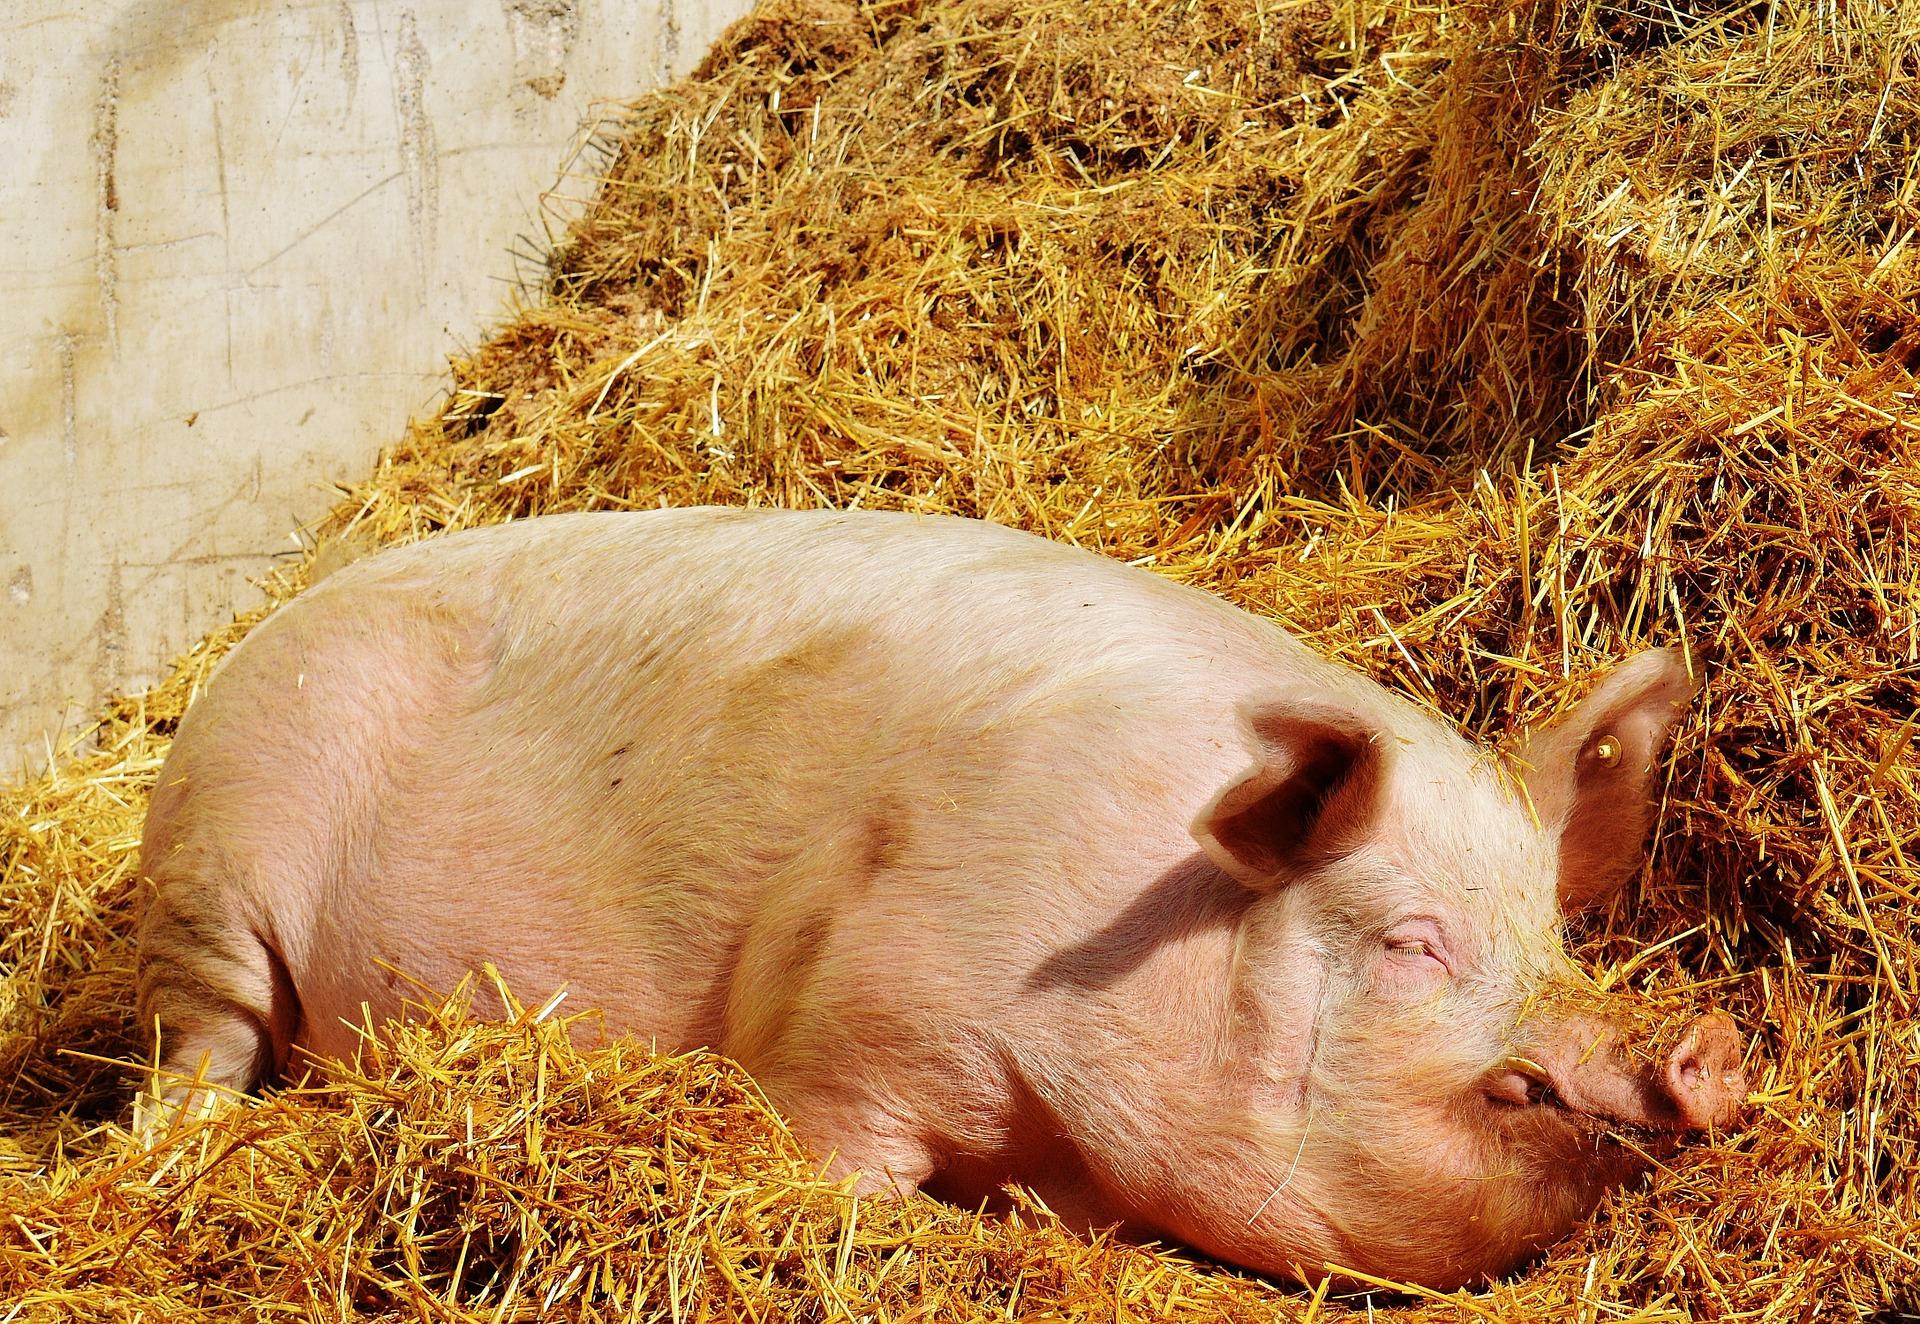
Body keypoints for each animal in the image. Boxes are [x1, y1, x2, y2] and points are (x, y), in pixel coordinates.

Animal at [133, 506, 1745, 1289]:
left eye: (1552, 935)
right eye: (1413, 944)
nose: (1705, 1046)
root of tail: (266, 628)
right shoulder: (850, 1022)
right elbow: (830, 1156)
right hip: (217, 857)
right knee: (198, 1047)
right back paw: (179, 1143)